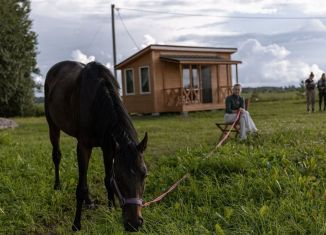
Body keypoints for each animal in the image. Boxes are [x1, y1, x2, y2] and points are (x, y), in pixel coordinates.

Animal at [43, 60, 148, 231]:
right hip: (53, 126)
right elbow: (81, 187)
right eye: (120, 177)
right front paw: (76, 224)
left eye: (144, 175)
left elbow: (107, 180)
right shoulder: (84, 146)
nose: (134, 224)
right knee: (57, 156)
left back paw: (89, 201)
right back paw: (57, 186)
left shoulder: (109, 147)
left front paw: (111, 210)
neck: (97, 101)